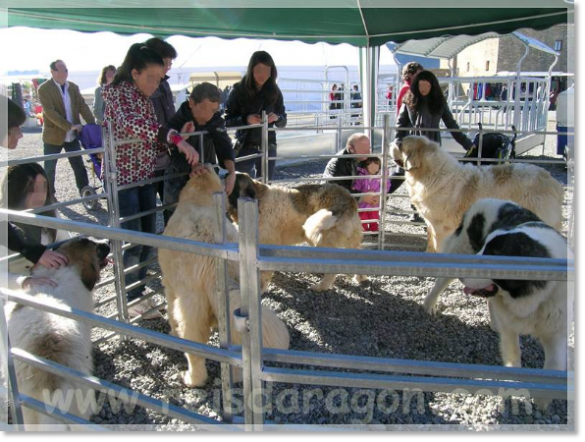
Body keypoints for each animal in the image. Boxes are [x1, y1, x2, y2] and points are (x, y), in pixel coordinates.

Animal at [226, 174, 362, 294]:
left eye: (232, 184)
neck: (260, 200)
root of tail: (347, 199)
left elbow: (264, 273)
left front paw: (261, 289)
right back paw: (360, 278)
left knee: (331, 272)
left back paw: (320, 287)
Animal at [390, 135, 564, 252]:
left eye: (400, 145)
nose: (393, 140)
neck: (429, 173)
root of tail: (552, 181)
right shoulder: (432, 224)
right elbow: (430, 242)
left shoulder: (442, 228)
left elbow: (438, 245)